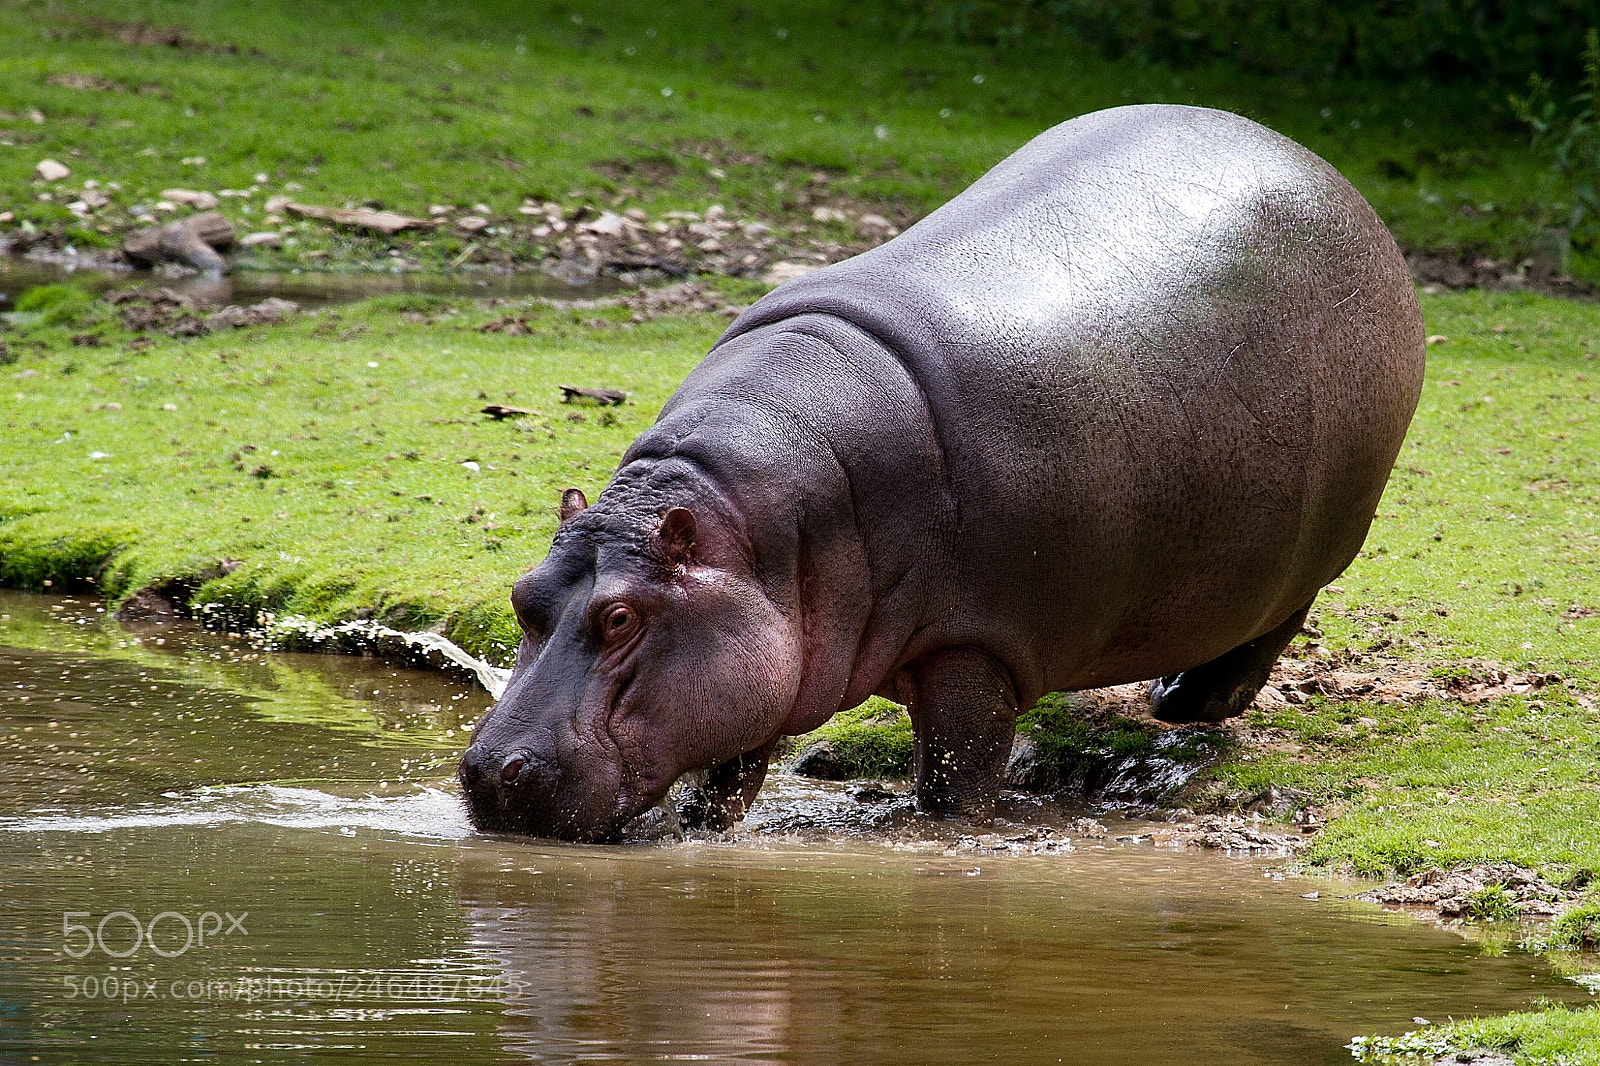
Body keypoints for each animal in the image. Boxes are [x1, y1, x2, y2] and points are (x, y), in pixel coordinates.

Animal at [460, 104, 1425, 841]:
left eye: (621, 617)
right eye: (519, 594)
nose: (486, 770)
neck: (758, 526)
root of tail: (1335, 180)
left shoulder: (976, 643)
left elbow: (956, 777)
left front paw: (939, 834)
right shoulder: (754, 650)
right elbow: (730, 766)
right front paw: (703, 826)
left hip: (1322, 542)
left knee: (1273, 623)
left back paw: (1185, 702)